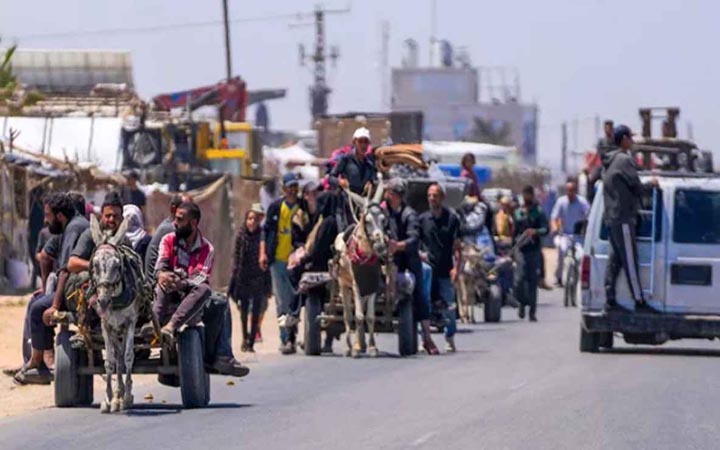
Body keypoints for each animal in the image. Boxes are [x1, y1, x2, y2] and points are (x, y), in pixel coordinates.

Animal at [88, 216, 148, 414]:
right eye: (95, 264)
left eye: (117, 265)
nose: (103, 302)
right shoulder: (106, 326)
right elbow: (110, 362)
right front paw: (109, 400)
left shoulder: (130, 323)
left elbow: (129, 356)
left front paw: (127, 397)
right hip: (115, 330)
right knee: (118, 358)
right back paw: (117, 395)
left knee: (124, 357)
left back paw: (123, 396)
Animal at [334, 181, 388, 356]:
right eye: (368, 221)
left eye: (384, 220)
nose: (381, 247)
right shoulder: (356, 285)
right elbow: (357, 316)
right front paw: (357, 349)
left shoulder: (372, 286)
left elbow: (370, 317)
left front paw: (371, 347)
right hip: (344, 285)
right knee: (347, 315)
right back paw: (351, 347)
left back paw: (361, 343)